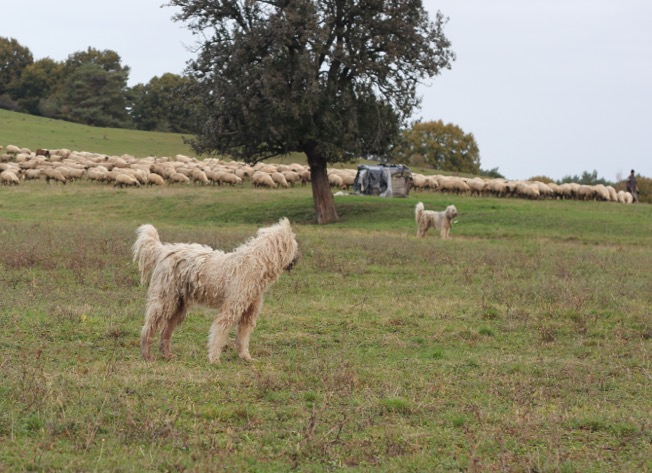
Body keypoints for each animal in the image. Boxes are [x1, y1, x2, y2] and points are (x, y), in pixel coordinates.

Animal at [133, 218, 300, 362]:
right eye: (295, 244)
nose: (299, 257)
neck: (256, 263)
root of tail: (164, 250)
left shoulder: (248, 313)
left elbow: (243, 338)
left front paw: (246, 357)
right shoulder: (230, 309)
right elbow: (219, 334)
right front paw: (214, 358)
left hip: (178, 306)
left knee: (165, 332)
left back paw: (167, 355)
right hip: (164, 301)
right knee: (148, 328)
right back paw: (147, 355)